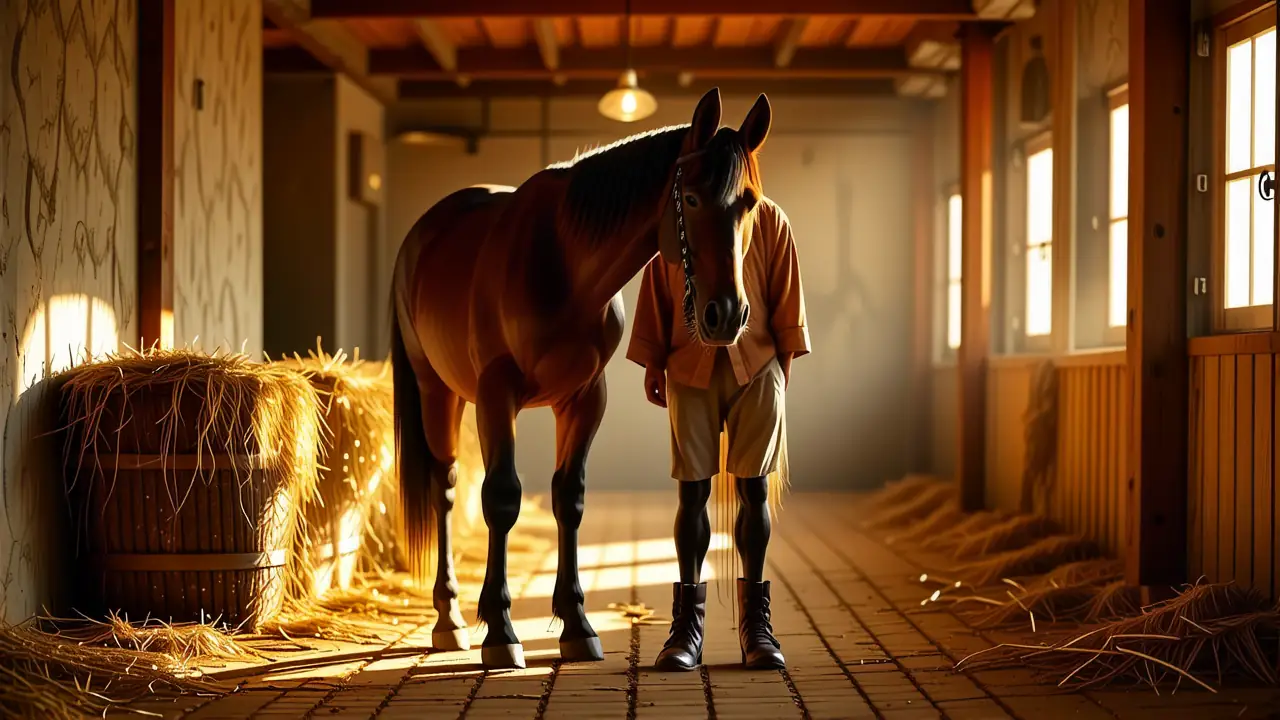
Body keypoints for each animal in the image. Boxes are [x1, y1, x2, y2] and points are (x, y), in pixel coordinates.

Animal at [389, 87, 772, 669]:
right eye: (691, 199)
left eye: (748, 202)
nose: (725, 314)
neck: (564, 263)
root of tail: (420, 234)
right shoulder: (496, 393)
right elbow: (501, 498)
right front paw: (501, 630)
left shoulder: (585, 398)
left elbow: (569, 499)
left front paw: (576, 624)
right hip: (438, 392)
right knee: (446, 489)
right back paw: (449, 619)